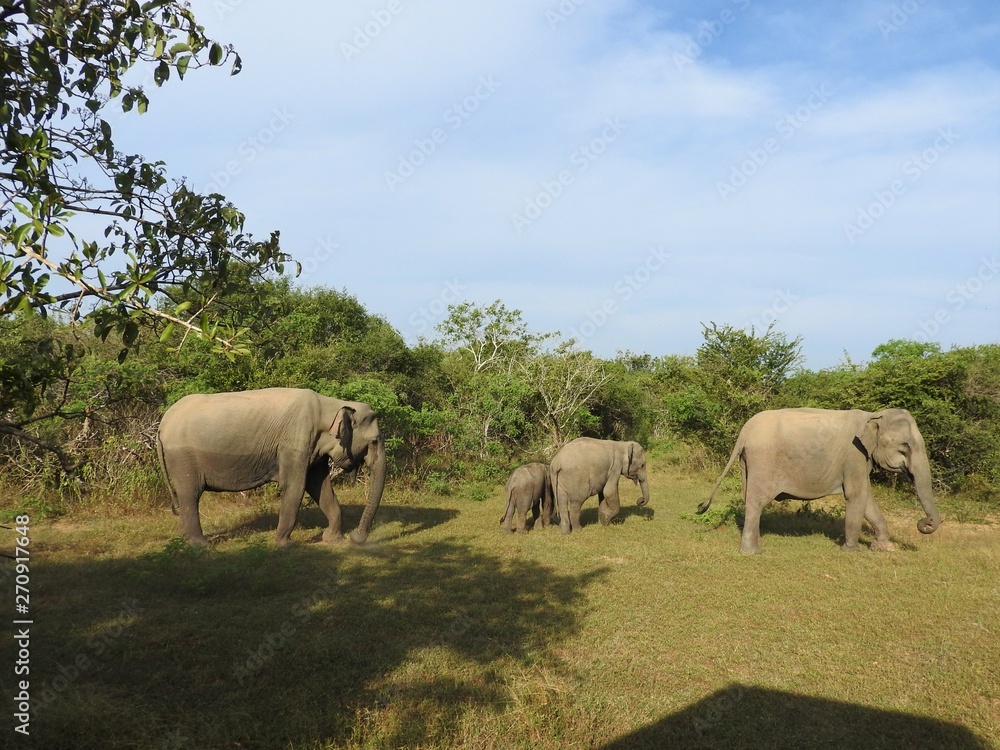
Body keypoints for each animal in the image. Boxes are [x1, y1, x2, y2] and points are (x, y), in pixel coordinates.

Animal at [156, 387, 386, 547]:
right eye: (374, 441)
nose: (356, 536)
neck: (331, 404)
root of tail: (162, 424)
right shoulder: (294, 443)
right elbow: (295, 487)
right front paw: (285, 545)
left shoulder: (313, 448)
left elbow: (319, 486)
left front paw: (332, 539)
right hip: (182, 456)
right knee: (191, 494)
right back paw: (201, 544)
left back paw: (186, 540)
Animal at [697, 407, 941, 554]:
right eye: (905, 447)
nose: (925, 524)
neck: (873, 415)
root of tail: (744, 432)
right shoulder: (854, 455)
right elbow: (856, 495)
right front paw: (852, 551)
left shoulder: (861, 459)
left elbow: (866, 498)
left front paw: (884, 548)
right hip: (763, 461)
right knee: (756, 501)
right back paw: (752, 552)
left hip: (747, 463)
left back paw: (759, 544)